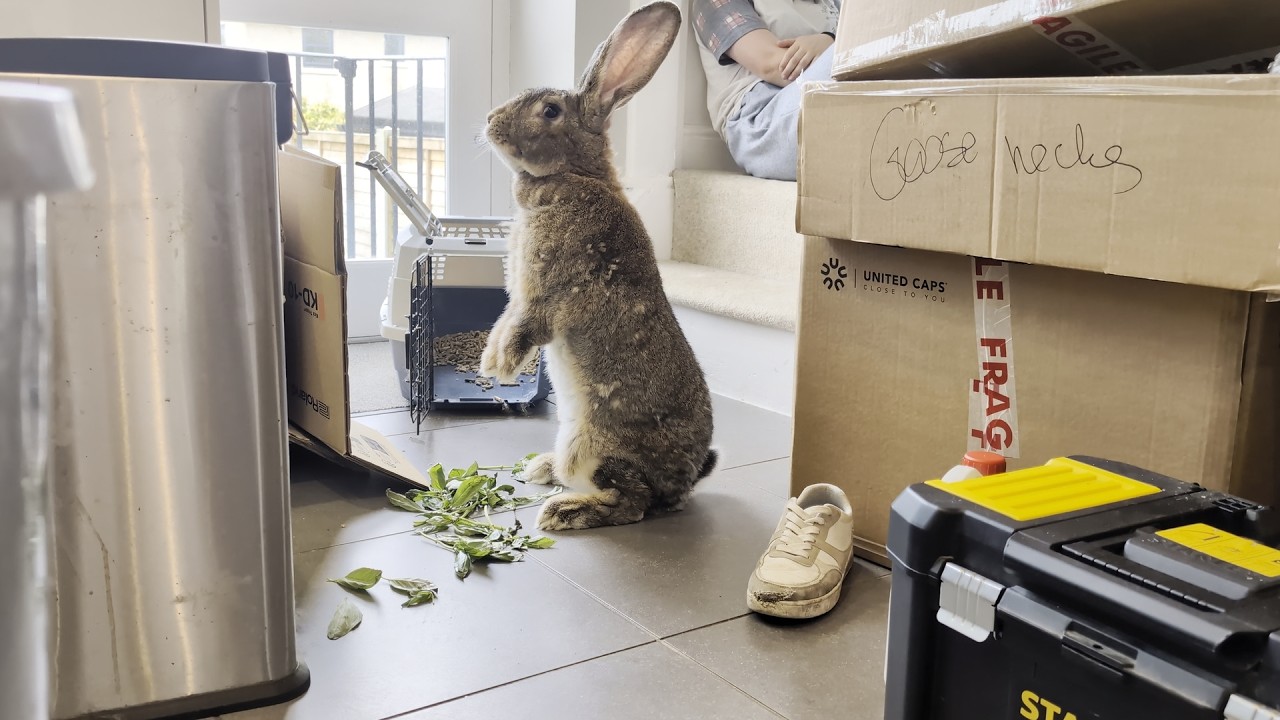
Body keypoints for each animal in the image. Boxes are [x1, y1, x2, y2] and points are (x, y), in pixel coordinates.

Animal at [479, 0, 718, 532]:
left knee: (631, 504)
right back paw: (540, 469)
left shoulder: (546, 292)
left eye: (550, 111)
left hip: (594, 446)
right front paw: (489, 363)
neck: (575, 174)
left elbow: (523, 327)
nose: (489, 120)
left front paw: (501, 368)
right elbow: (503, 321)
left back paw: (562, 511)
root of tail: (683, 483)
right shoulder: (518, 296)